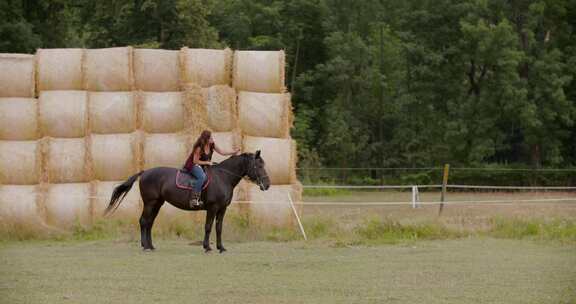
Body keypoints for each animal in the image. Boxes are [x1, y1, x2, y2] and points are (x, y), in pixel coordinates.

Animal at [104, 151, 270, 253]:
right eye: (258, 165)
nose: (267, 185)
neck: (223, 177)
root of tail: (145, 172)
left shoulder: (222, 209)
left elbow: (219, 228)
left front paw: (221, 248)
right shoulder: (212, 208)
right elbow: (208, 227)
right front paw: (207, 247)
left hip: (157, 204)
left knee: (149, 223)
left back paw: (151, 246)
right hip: (150, 203)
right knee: (144, 221)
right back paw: (145, 246)